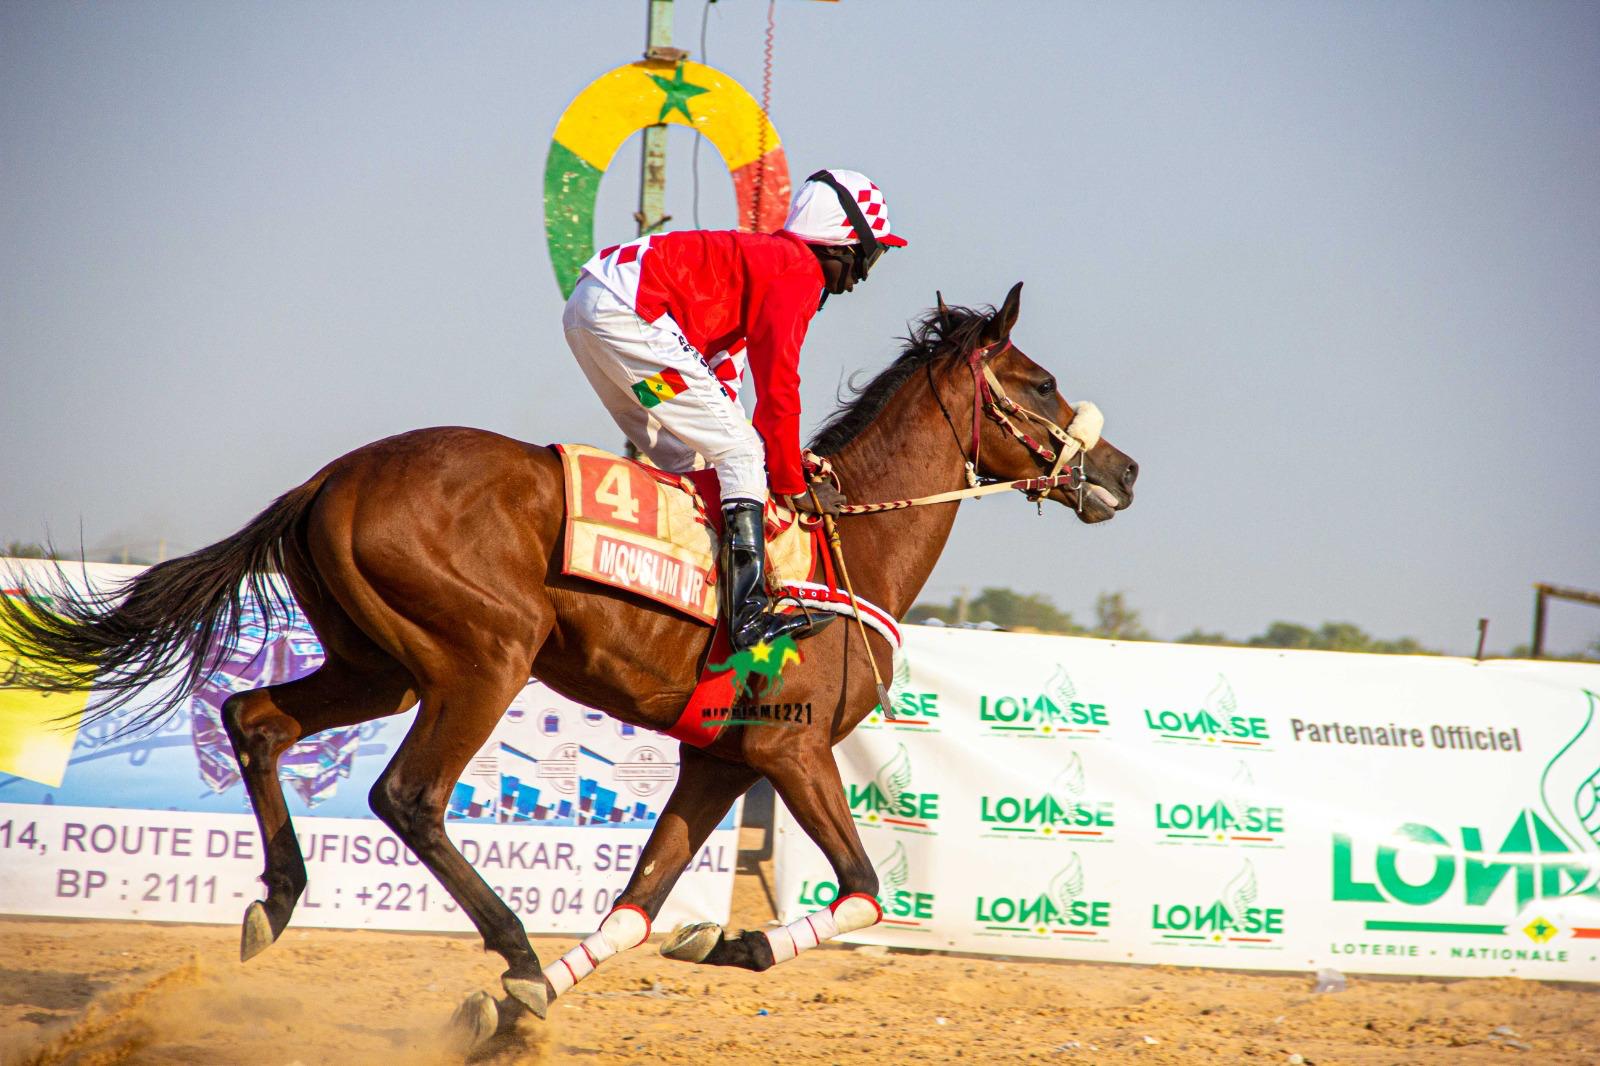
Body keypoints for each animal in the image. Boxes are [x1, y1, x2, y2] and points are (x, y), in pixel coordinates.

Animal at [1, 281, 1138, 1041]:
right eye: (1038, 382)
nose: (1123, 470)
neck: (835, 544)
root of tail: (331, 477)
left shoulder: (716, 758)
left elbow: (639, 903)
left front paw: (528, 1006)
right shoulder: (791, 750)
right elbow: (863, 891)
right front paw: (730, 944)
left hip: (378, 664)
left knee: (256, 720)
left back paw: (275, 901)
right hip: (480, 659)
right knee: (408, 794)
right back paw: (502, 938)